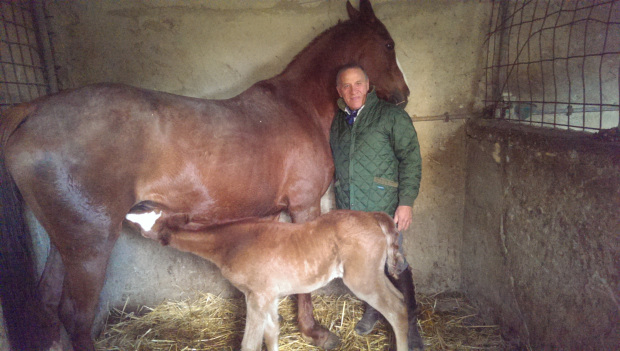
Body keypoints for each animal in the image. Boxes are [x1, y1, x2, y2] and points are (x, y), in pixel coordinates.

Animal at [127, 210, 406, 350]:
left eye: (146, 220)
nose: (125, 219)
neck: (232, 244)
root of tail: (375, 217)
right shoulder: (270, 296)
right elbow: (272, 333)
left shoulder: (257, 296)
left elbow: (250, 343)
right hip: (375, 273)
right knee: (400, 298)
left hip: (362, 279)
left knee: (396, 310)